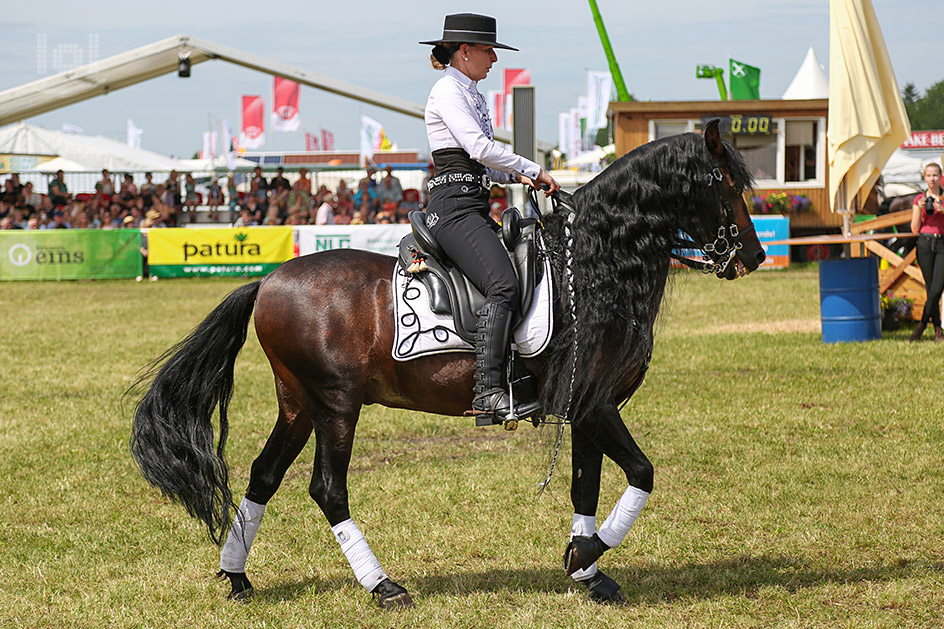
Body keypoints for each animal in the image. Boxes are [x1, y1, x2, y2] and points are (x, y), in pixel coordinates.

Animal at [131, 119, 768, 608]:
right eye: (725, 183)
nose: (755, 257)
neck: (593, 267)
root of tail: (268, 280)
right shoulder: (595, 404)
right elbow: (641, 472)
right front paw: (583, 556)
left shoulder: (586, 405)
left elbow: (585, 487)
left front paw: (587, 571)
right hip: (336, 405)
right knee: (328, 489)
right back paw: (383, 586)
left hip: (298, 404)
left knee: (264, 475)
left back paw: (237, 576)